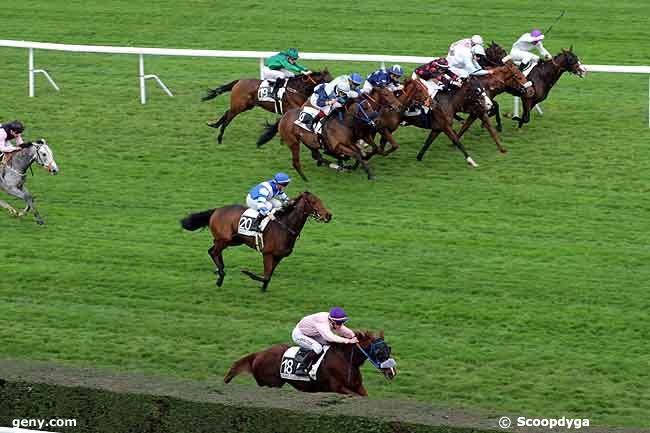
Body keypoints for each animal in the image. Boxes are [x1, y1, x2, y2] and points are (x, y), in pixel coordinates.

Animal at [177, 192, 330, 290]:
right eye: (314, 202)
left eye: (321, 200)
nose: (328, 215)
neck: (284, 226)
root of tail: (216, 210)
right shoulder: (267, 254)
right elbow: (266, 276)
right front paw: (247, 273)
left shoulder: (279, 257)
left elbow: (268, 276)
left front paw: (263, 289)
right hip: (225, 239)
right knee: (213, 251)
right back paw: (221, 274)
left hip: (233, 240)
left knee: (214, 251)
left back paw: (220, 271)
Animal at [201, 69, 332, 143]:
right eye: (328, 80)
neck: (297, 89)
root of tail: (239, 81)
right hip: (239, 106)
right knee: (229, 116)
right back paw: (219, 137)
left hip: (245, 106)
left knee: (227, 112)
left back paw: (214, 125)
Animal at [223, 330, 394, 396]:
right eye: (380, 353)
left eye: (389, 350)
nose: (392, 372)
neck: (346, 359)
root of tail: (258, 354)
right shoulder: (337, 388)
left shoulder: (357, 387)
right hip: (271, 384)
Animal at [254, 87, 400, 181]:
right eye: (364, 107)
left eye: (393, 93)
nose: (377, 121)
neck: (344, 122)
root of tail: (283, 118)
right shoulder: (339, 146)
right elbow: (356, 154)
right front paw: (369, 173)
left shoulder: (354, 140)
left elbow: (362, 151)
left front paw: (354, 164)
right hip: (293, 142)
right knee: (296, 162)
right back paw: (307, 179)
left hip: (308, 141)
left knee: (316, 155)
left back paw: (334, 164)